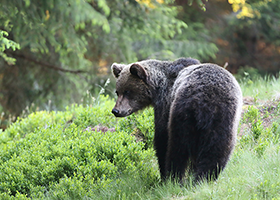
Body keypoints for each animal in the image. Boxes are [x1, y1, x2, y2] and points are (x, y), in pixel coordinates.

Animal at [110, 57, 242, 183]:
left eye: (127, 91)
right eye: (117, 91)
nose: (116, 111)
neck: (157, 88)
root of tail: (205, 101)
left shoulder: (165, 104)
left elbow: (162, 139)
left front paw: (164, 174)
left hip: (183, 113)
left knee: (178, 148)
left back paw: (174, 177)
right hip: (223, 120)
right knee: (218, 150)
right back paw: (204, 178)